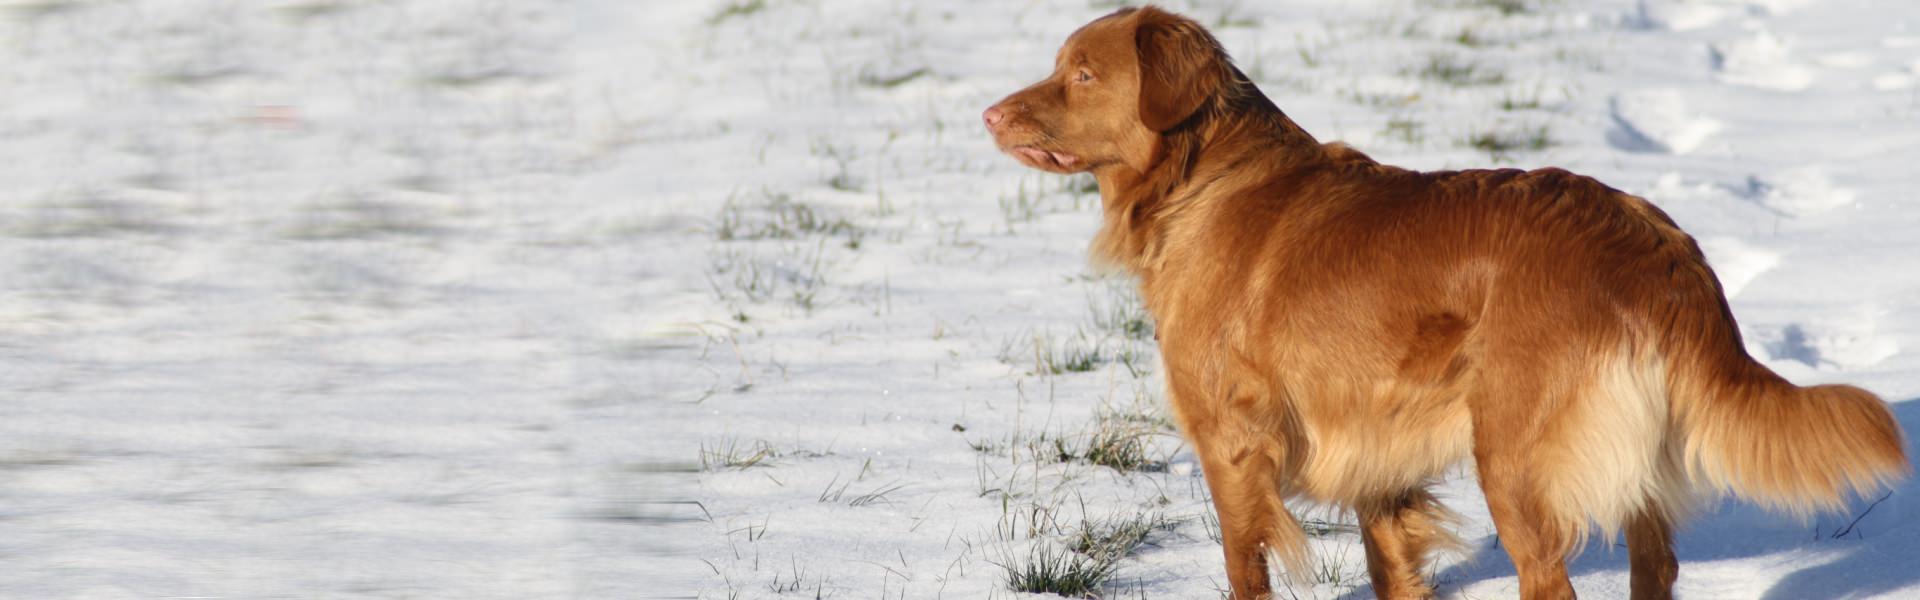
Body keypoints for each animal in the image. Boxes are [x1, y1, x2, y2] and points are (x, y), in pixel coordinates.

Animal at [983, 5, 1912, 600]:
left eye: (1082, 73)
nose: (988, 113)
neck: (1205, 179)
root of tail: (1659, 248)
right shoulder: (1378, 459)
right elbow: (1394, 572)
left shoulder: (1232, 444)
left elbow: (1245, 569)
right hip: (1630, 471)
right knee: (1654, 571)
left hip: (1515, 461)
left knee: (1549, 581)